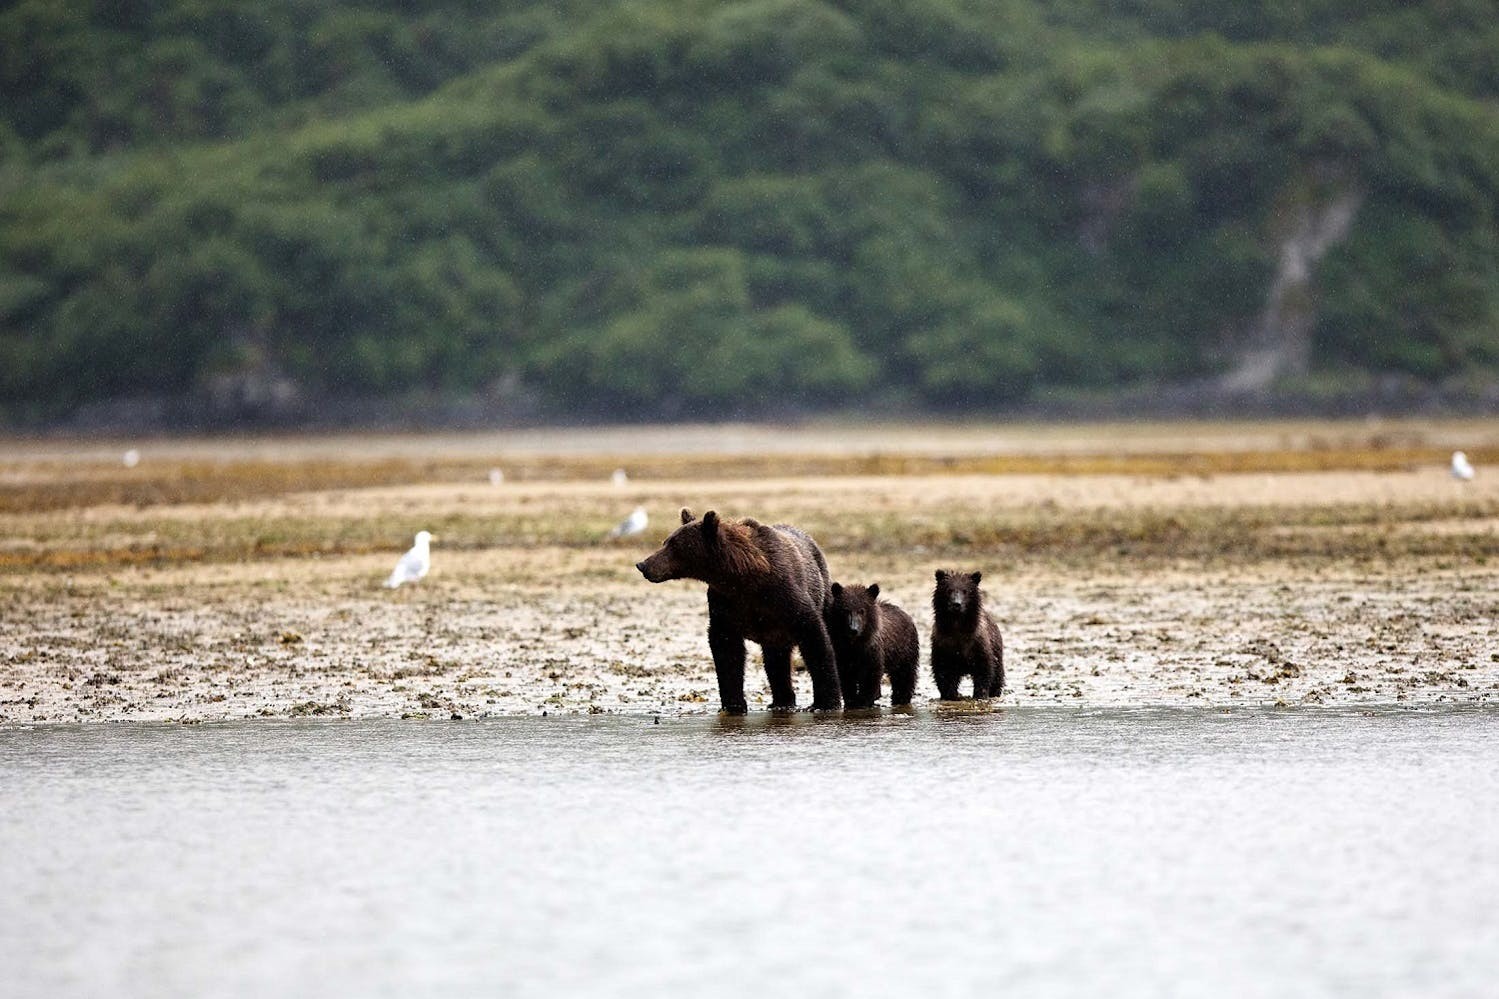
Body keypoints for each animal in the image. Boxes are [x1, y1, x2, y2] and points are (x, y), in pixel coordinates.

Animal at [636, 509, 842, 713]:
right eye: (665, 542)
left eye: (674, 545)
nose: (643, 565)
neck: (742, 579)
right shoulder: (726, 605)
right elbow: (726, 650)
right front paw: (733, 704)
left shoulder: (785, 596)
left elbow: (814, 638)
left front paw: (825, 703)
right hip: (774, 633)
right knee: (775, 658)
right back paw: (781, 701)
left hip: (822, 589)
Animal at [930, 569, 1005, 700]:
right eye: (949, 590)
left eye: (965, 591)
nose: (957, 604)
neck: (957, 625)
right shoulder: (943, 643)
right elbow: (943, 670)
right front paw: (950, 695)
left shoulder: (977, 642)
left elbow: (984, 669)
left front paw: (980, 694)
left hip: (997, 649)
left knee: (997, 675)